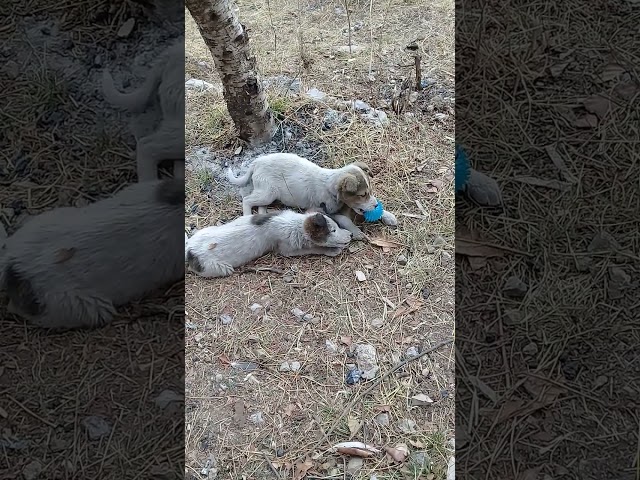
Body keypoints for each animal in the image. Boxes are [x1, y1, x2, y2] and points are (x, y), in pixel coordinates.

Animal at [185, 210, 352, 278]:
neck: (296, 224)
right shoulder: (287, 249)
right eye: (333, 230)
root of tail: (188, 250)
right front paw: (333, 250)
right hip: (220, 268)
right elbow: (313, 248)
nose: (350, 234)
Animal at [225, 153, 396, 240]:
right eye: (362, 195)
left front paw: (389, 216)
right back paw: (247, 216)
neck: (330, 188)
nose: (375, 206)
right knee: (248, 200)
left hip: (268, 194)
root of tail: (256, 162)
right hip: (268, 192)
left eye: (370, 192)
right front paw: (357, 231)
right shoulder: (322, 210)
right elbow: (344, 219)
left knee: (260, 205)